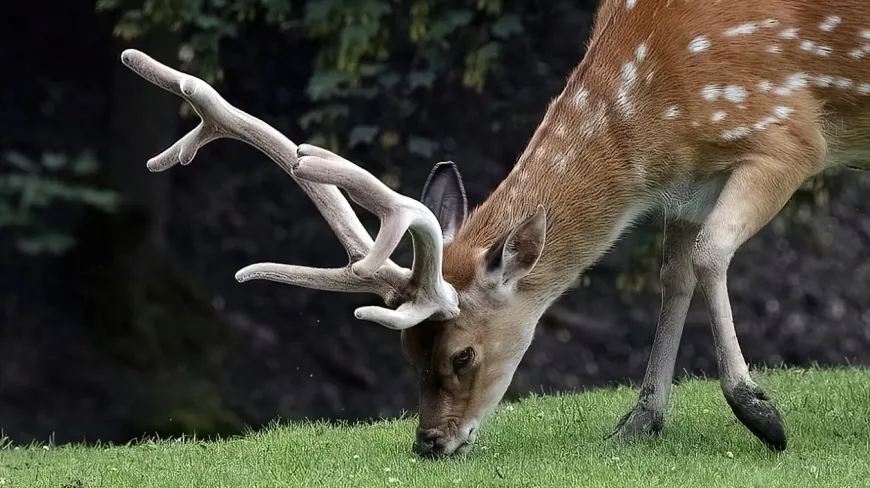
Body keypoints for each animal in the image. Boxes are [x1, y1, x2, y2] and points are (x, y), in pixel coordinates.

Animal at [121, 0, 870, 458]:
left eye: (462, 355)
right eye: (406, 353)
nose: (429, 442)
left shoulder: (787, 133)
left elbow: (713, 254)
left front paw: (760, 413)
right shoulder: (689, 182)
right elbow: (674, 276)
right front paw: (640, 420)